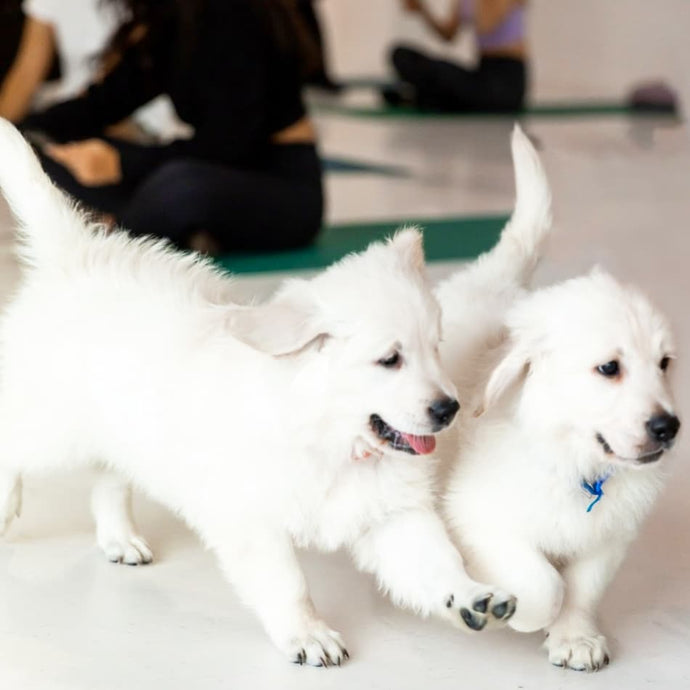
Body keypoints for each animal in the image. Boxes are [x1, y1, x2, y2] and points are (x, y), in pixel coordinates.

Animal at [0, 119, 516, 668]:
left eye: (436, 348)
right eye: (389, 359)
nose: (449, 409)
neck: (331, 439)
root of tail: (77, 257)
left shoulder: (390, 512)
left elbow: (434, 561)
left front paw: (472, 595)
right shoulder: (251, 518)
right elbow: (288, 582)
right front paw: (308, 634)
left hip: (123, 429)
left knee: (109, 480)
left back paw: (120, 538)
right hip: (53, 425)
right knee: (15, 443)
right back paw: (8, 506)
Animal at [436, 126, 676, 668]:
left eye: (664, 364)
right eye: (609, 368)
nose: (668, 427)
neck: (576, 464)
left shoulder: (607, 536)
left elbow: (582, 589)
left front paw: (576, 637)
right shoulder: (477, 515)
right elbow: (545, 584)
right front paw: (523, 616)